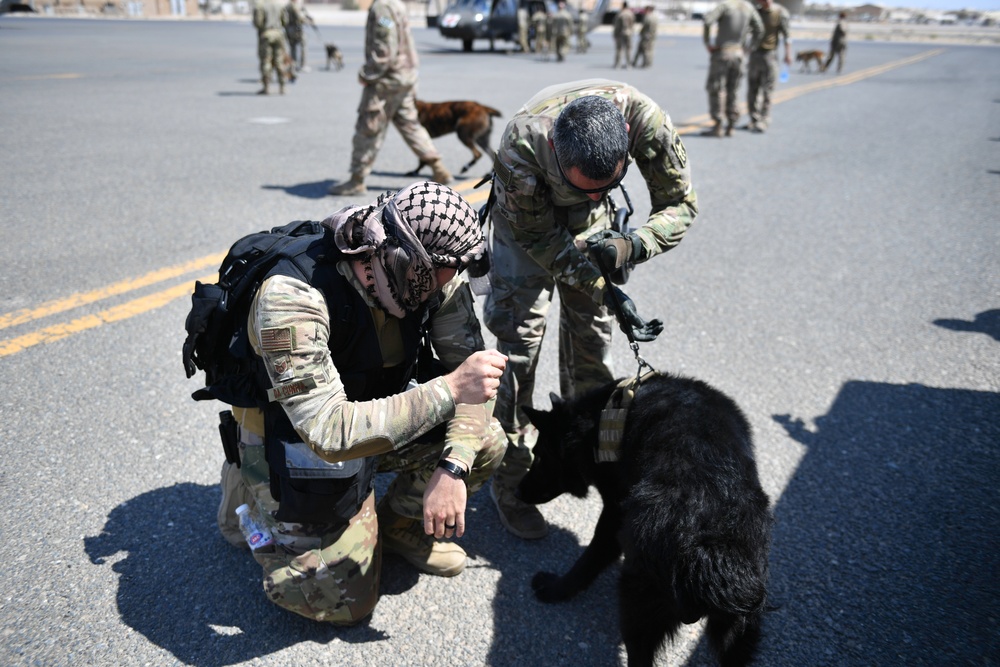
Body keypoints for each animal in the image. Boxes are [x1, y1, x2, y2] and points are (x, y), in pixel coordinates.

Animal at [516, 374, 772, 664]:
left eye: (540, 454)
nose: (518, 491)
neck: (611, 412)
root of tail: (709, 544)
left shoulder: (614, 515)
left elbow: (590, 558)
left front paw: (558, 588)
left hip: (636, 604)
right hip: (737, 634)